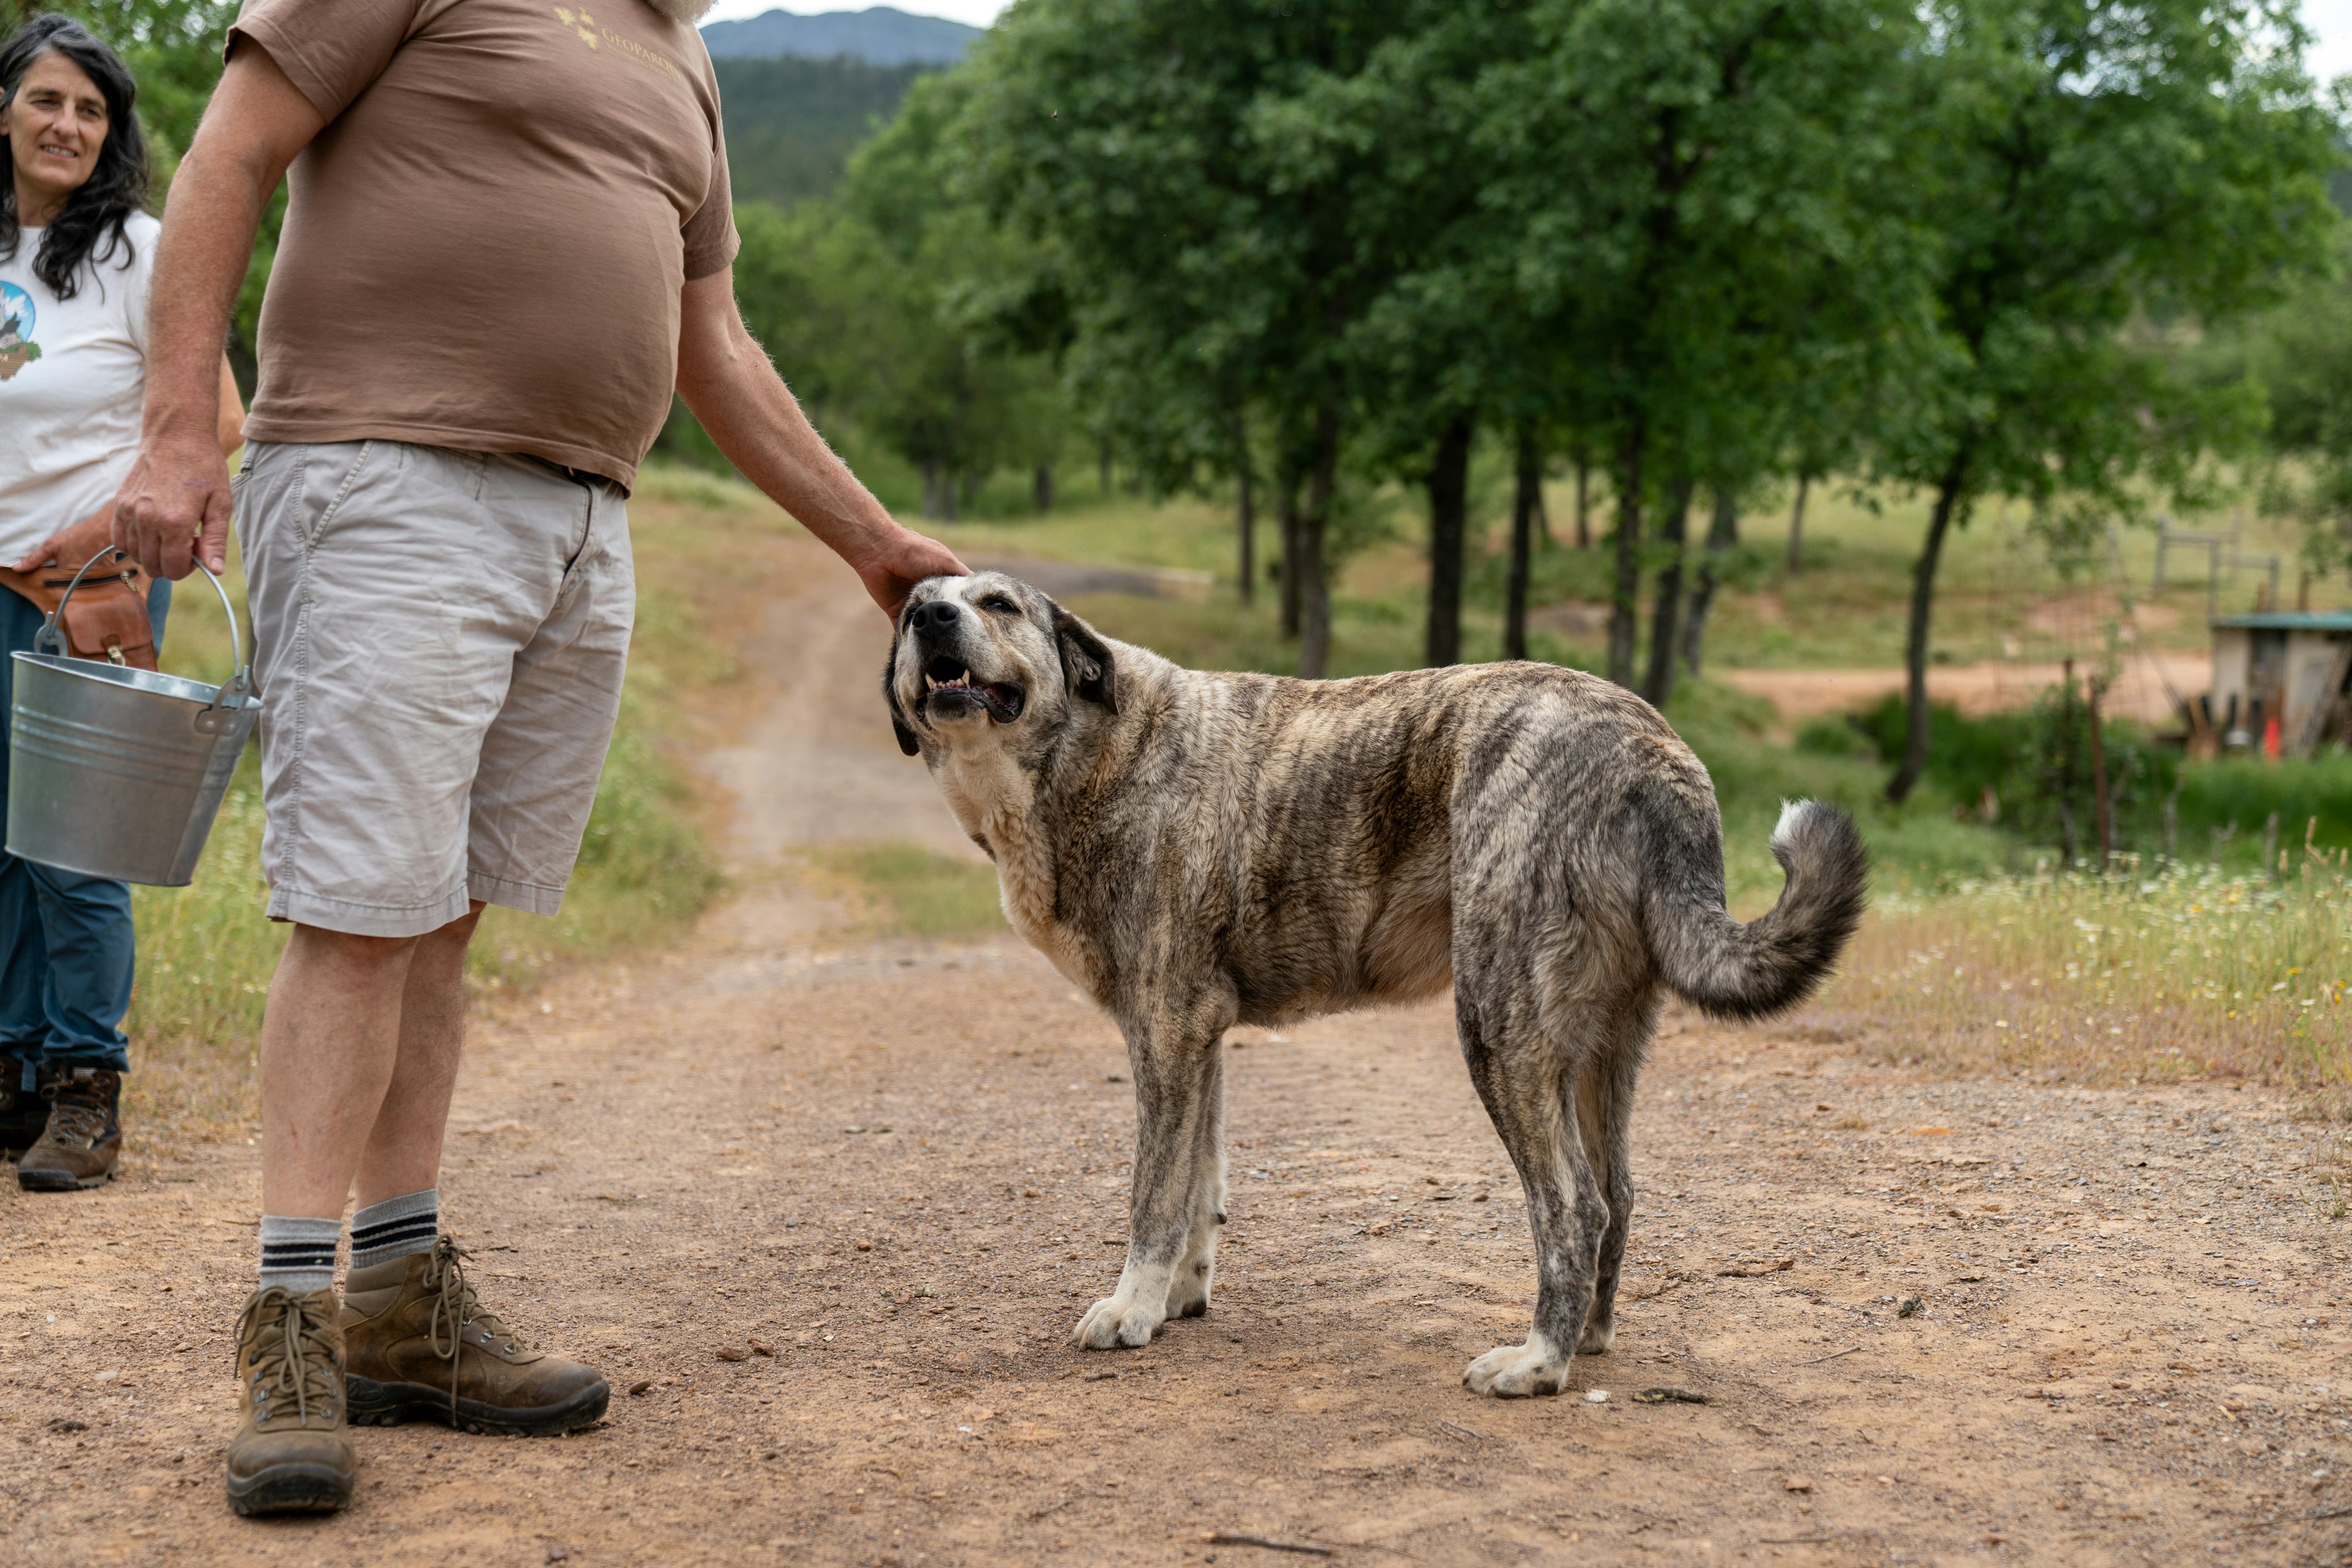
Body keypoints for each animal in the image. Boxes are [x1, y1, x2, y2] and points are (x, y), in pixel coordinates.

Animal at [889, 573, 1863, 1401]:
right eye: (911, 609)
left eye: (999, 604)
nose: (932, 616)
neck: (1097, 748)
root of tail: (1653, 750)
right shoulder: (1199, 1042)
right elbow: (1202, 1187)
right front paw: (1177, 1302)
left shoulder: (1165, 1032)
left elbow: (1153, 1198)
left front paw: (1131, 1309)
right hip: (1601, 1049)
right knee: (1618, 1196)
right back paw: (1585, 1338)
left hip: (1499, 1028)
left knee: (1573, 1207)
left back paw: (1537, 1363)